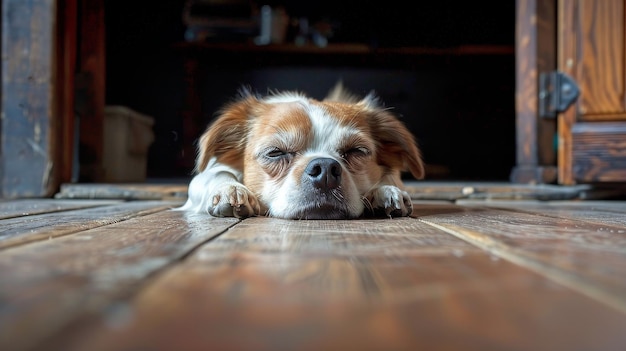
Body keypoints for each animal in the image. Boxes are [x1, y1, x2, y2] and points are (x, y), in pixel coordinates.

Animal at [176, 83, 424, 220]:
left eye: (356, 151)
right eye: (275, 153)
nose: (325, 168)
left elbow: (389, 178)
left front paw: (384, 191)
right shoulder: (205, 175)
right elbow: (218, 174)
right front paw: (230, 189)